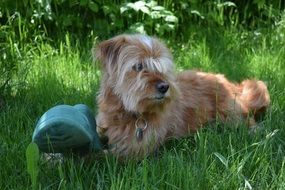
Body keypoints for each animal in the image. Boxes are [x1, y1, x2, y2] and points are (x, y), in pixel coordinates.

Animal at [94, 33, 270, 157]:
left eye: (161, 68)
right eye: (138, 66)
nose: (164, 87)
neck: (125, 113)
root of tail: (229, 84)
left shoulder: (135, 150)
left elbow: (100, 156)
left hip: (230, 114)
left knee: (249, 122)